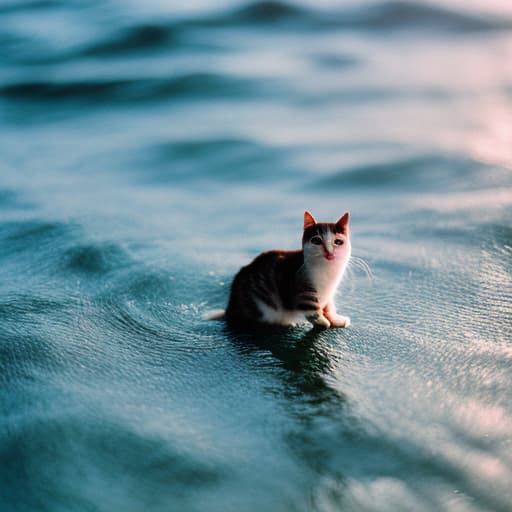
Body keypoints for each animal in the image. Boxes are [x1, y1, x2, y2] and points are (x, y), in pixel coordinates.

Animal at [220, 211, 352, 328]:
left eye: (338, 242)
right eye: (316, 241)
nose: (329, 253)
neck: (327, 268)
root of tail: (230, 308)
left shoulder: (328, 294)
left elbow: (329, 306)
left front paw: (336, 319)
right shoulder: (302, 290)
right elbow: (311, 309)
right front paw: (323, 322)